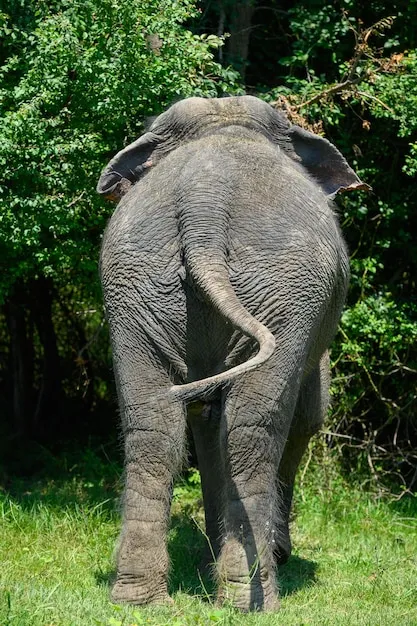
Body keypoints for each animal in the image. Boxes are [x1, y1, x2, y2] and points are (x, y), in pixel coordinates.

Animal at [95, 94, 368, 608]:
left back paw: (138, 600)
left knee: (151, 426)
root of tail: (204, 203)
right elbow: (306, 417)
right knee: (252, 430)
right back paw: (252, 598)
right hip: (284, 290)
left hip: (136, 280)